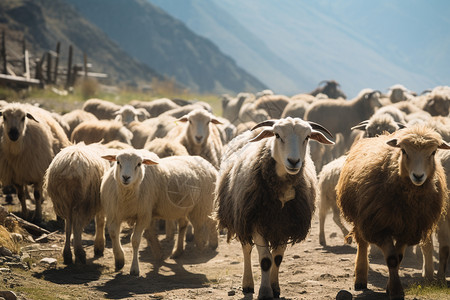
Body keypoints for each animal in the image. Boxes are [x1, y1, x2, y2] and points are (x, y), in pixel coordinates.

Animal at [214, 116, 334, 298]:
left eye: (307, 137)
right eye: (277, 135)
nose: (294, 162)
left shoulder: (284, 225)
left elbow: (277, 258)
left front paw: (275, 287)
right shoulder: (257, 222)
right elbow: (265, 260)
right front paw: (264, 291)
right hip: (242, 217)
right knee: (246, 249)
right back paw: (247, 284)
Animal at [336, 123, 448, 298]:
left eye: (433, 152)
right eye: (404, 151)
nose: (418, 176)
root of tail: (381, 135)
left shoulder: (409, 228)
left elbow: (399, 257)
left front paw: (391, 287)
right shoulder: (380, 225)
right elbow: (392, 259)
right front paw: (396, 291)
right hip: (362, 216)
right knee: (362, 243)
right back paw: (360, 279)